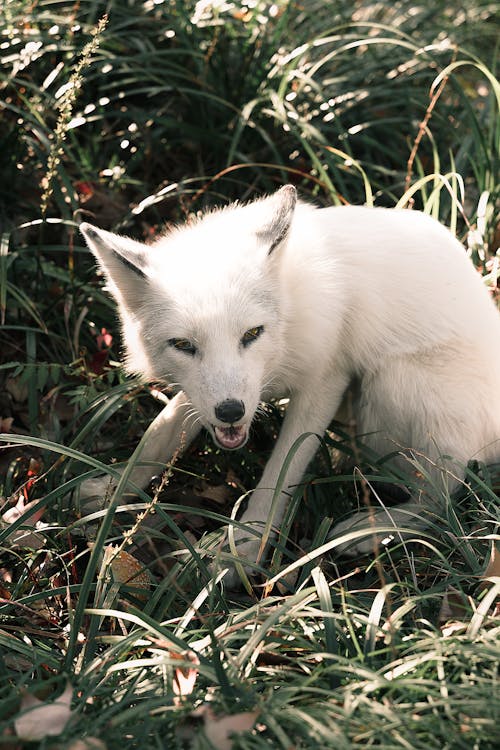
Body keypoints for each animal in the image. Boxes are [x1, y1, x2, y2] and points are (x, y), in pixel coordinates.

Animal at [80, 188, 500, 580]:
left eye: (252, 334)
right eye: (184, 345)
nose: (230, 411)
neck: (289, 315)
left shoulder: (326, 379)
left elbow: (280, 473)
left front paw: (242, 549)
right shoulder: (210, 395)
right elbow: (160, 432)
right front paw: (111, 490)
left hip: (393, 384)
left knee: (442, 501)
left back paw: (375, 529)